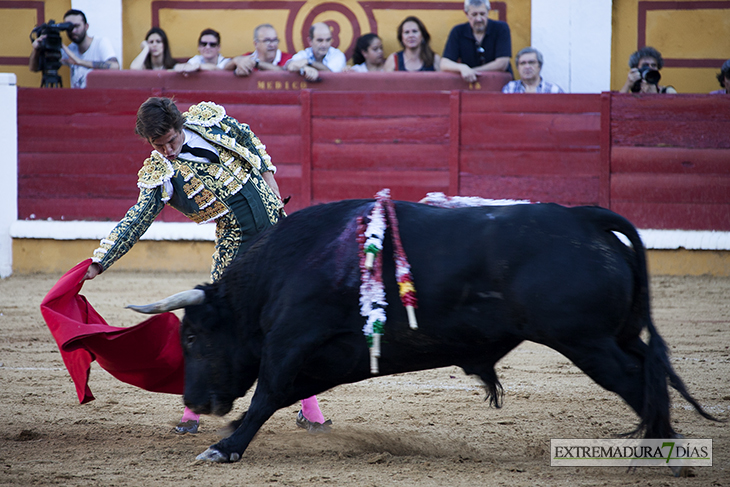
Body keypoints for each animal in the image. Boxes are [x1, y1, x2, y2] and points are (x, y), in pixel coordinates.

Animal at [131, 199, 712, 466]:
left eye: (192, 338)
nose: (195, 402)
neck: (279, 271)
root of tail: (583, 217)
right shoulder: (327, 357)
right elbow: (278, 396)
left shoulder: (292, 343)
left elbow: (265, 396)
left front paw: (225, 447)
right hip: (614, 337)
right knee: (651, 373)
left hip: (588, 343)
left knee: (637, 382)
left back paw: (663, 452)